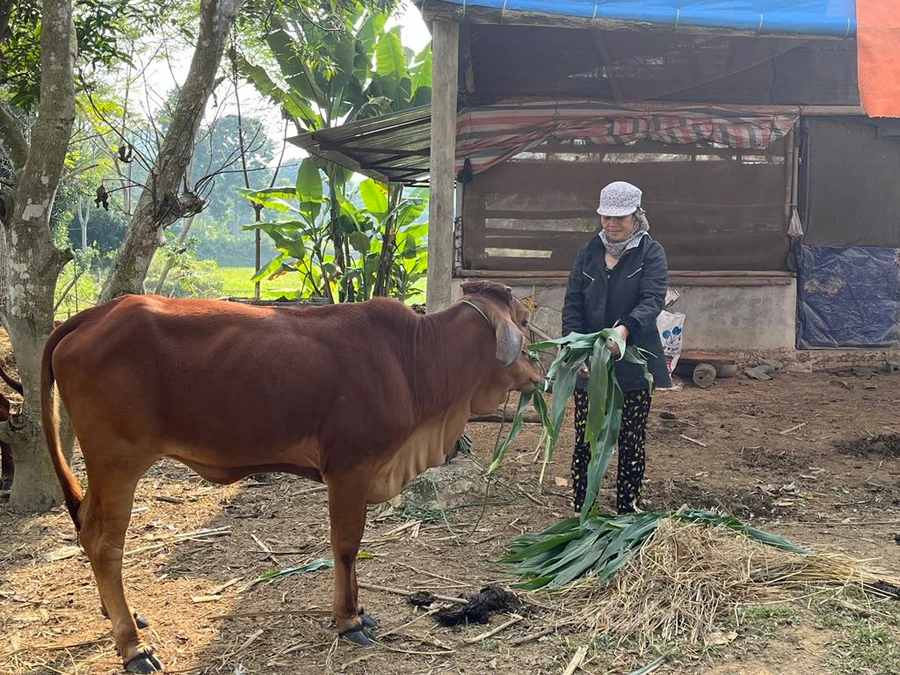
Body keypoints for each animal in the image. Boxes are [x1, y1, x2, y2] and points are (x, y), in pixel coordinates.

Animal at [42, 278, 540, 672]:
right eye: (523, 321)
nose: (540, 372)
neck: (412, 360)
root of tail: (95, 314)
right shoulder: (349, 469)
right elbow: (346, 546)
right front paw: (348, 620)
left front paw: (359, 611)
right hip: (117, 462)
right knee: (103, 543)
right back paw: (133, 647)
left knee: (86, 528)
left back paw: (122, 618)